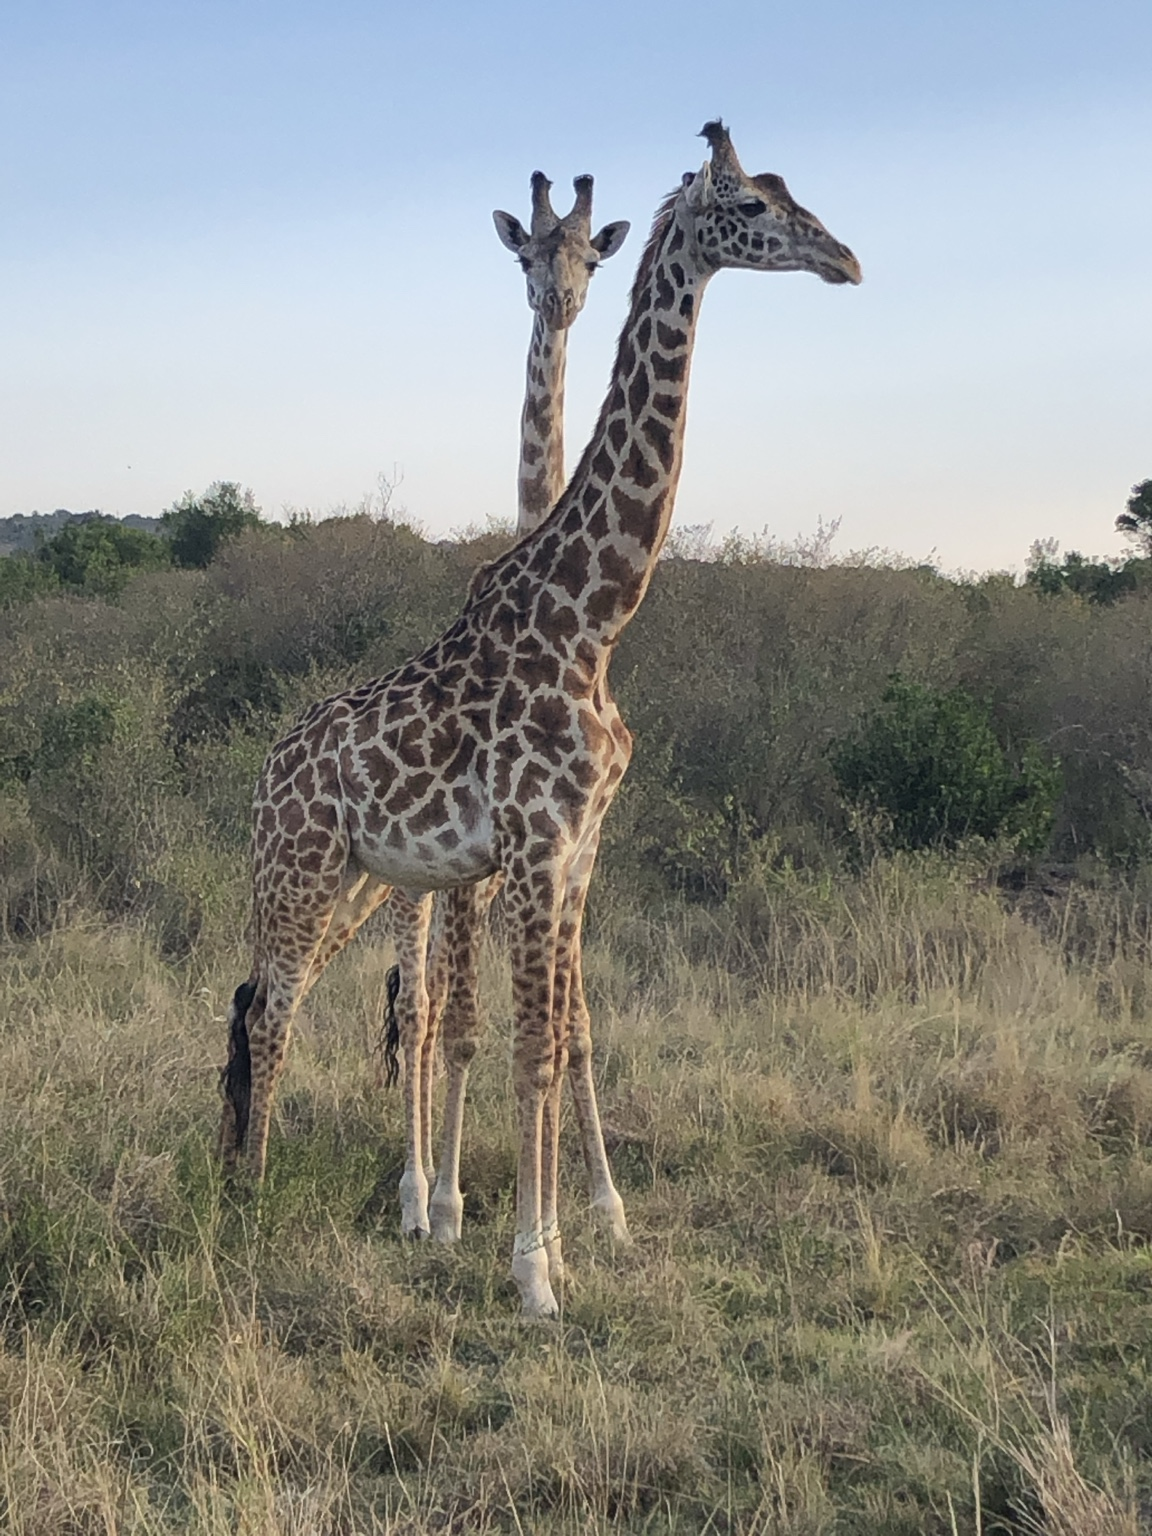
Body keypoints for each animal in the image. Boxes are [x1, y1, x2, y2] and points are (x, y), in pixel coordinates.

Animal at [220, 121, 860, 1318]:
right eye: (753, 203)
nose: (845, 259)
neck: (592, 617)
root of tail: (268, 771)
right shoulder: (529, 846)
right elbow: (515, 1044)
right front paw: (524, 1268)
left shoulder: (572, 849)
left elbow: (559, 1039)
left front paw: (566, 1238)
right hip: (304, 870)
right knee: (277, 1010)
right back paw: (252, 1202)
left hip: (352, 883)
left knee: (262, 1001)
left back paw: (237, 1171)